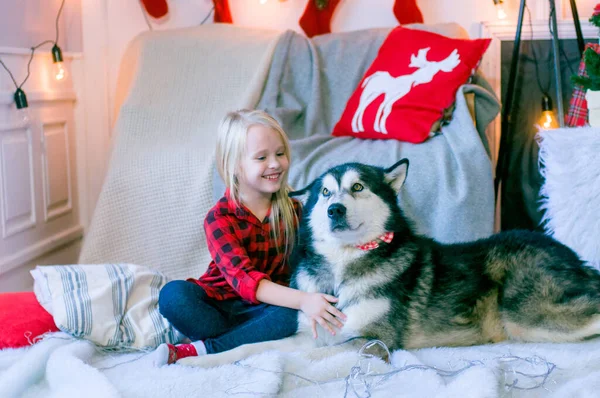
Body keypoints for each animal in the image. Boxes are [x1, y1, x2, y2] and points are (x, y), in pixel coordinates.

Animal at [182, 159, 600, 366]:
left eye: (357, 188)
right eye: (325, 192)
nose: (334, 210)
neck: (342, 271)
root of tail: (565, 250)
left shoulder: (373, 341)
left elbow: (306, 355)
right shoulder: (310, 331)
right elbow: (250, 348)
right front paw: (196, 363)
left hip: (529, 315)